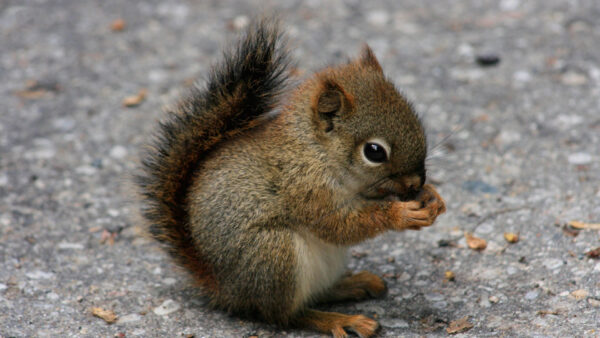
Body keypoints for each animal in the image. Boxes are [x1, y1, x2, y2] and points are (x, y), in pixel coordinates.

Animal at [137, 19, 446, 336]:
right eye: (374, 152)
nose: (416, 183)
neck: (316, 151)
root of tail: (225, 289)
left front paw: (432, 198)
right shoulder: (305, 188)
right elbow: (339, 225)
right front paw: (401, 214)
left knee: (317, 294)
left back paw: (354, 284)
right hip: (274, 256)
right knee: (285, 315)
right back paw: (338, 320)